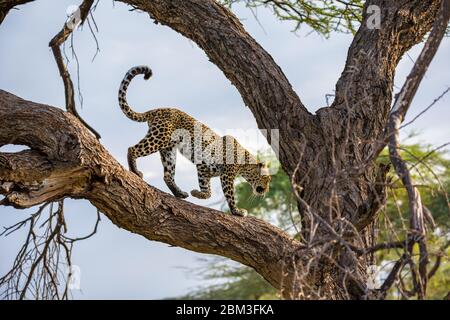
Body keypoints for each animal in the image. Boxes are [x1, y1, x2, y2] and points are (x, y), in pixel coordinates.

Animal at [118, 65, 270, 216]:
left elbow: (207, 191)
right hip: (158, 138)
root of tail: (156, 110)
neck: (244, 165)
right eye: (267, 179)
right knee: (132, 149)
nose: (266, 191)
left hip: (169, 150)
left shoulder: (204, 168)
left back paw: (180, 193)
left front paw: (196, 193)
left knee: (167, 175)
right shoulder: (222, 173)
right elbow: (229, 194)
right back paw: (135, 172)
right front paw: (237, 211)